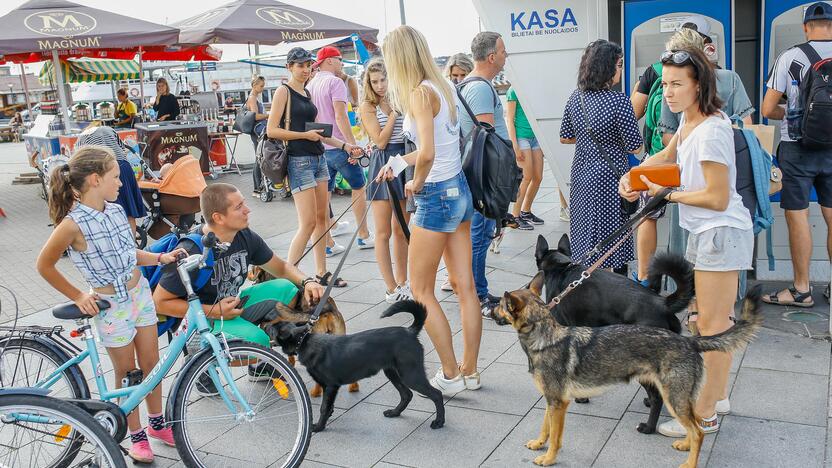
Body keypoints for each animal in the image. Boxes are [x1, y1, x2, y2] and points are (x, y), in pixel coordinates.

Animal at [270, 300, 446, 432]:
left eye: (272, 329)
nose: (265, 327)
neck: (304, 341)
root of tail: (410, 331)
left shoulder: (331, 386)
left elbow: (324, 407)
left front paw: (319, 427)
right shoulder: (328, 388)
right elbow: (328, 407)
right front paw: (325, 421)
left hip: (410, 374)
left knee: (436, 394)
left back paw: (439, 422)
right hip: (393, 372)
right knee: (406, 394)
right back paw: (395, 412)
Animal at [490, 274, 764, 468]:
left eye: (501, 305)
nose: (489, 309)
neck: (544, 336)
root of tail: (689, 341)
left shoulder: (558, 403)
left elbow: (555, 437)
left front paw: (549, 459)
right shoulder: (551, 401)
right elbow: (545, 427)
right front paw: (539, 444)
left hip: (673, 397)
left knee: (698, 431)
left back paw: (689, 464)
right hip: (681, 398)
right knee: (695, 425)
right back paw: (686, 446)